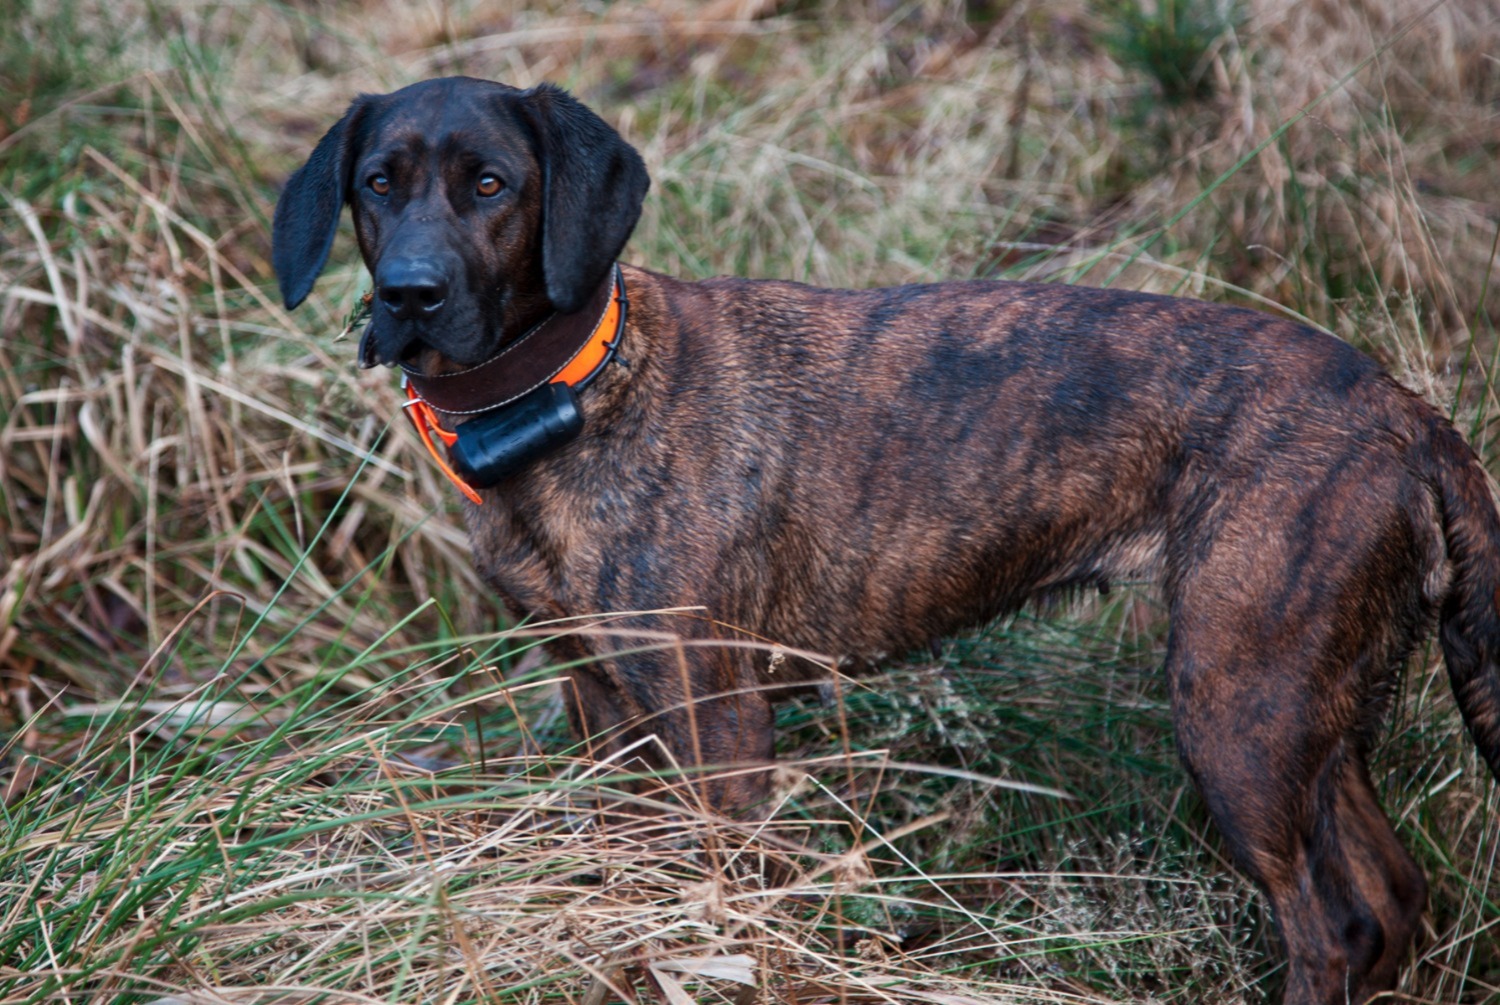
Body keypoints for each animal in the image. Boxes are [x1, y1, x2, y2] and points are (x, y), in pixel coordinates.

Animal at [270, 78, 1500, 1005]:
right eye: (376, 183)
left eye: (492, 184)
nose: (408, 294)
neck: (575, 391)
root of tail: (1410, 415)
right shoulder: (602, 704)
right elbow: (630, 874)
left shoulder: (718, 723)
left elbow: (726, 908)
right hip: (1314, 718)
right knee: (1390, 900)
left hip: (1238, 710)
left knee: (1328, 927)